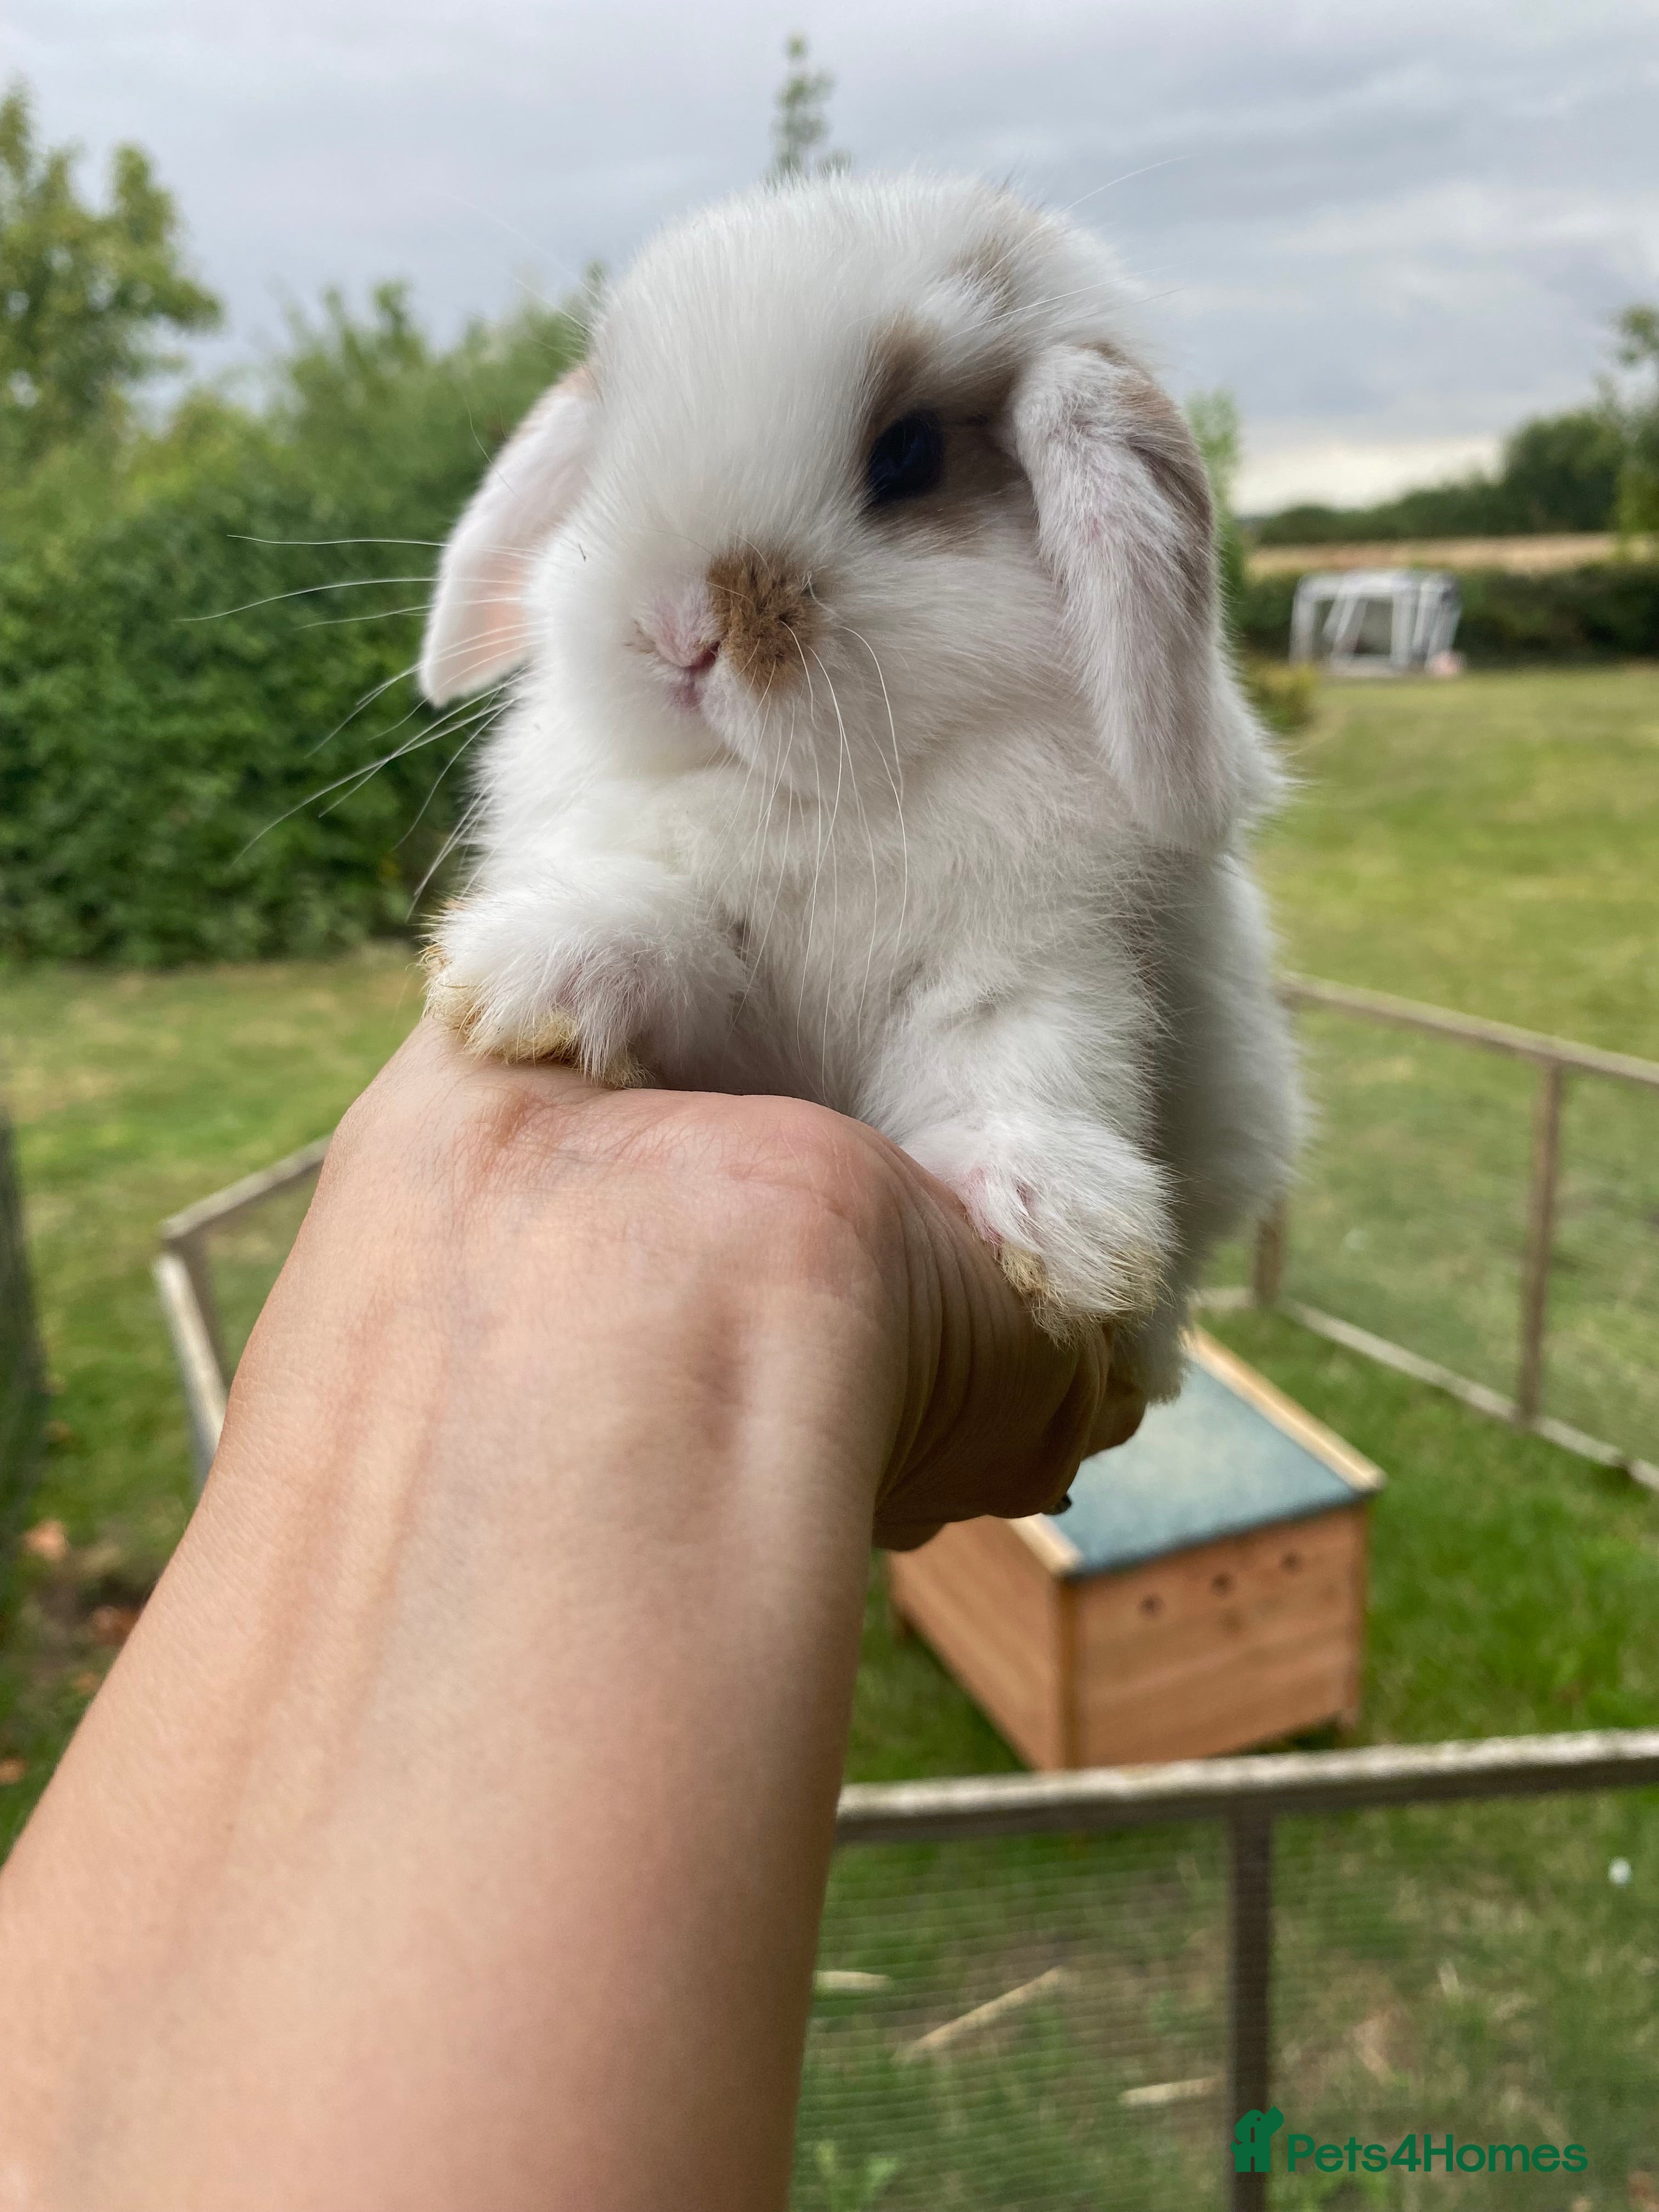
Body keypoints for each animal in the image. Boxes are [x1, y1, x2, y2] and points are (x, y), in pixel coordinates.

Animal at [417, 171, 1300, 1402]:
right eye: (608, 454)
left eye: (909, 453)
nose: (676, 631)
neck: (820, 794)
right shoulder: (732, 1000)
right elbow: (672, 926)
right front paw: (530, 975)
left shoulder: (1035, 965)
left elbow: (1022, 1066)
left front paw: (1055, 1221)